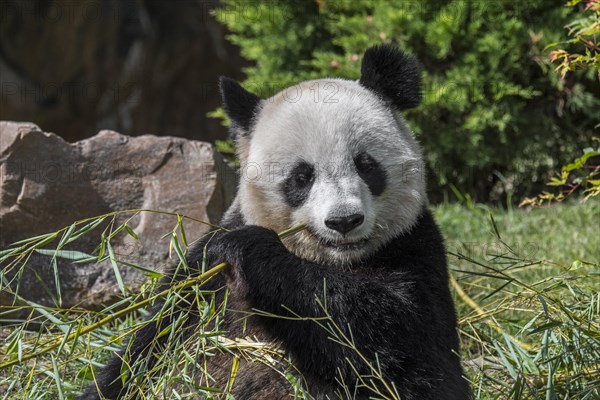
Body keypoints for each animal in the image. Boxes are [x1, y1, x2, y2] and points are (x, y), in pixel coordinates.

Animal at [81, 44, 468, 400]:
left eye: (366, 165)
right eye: (301, 177)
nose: (344, 221)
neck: (336, 261)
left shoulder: (414, 252)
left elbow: (398, 345)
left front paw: (252, 251)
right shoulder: (201, 279)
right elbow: (147, 350)